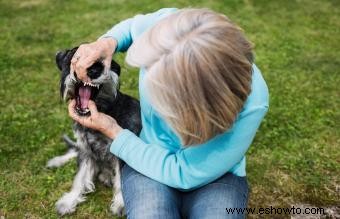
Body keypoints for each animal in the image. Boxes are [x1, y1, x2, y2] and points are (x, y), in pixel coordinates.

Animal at [46, 47, 141, 216]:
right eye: (75, 57)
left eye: (103, 63)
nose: (93, 71)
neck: (106, 108)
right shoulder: (85, 149)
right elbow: (79, 178)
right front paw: (69, 201)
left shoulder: (120, 154)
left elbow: (121, 180)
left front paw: (121, 204)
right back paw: (56, 161)